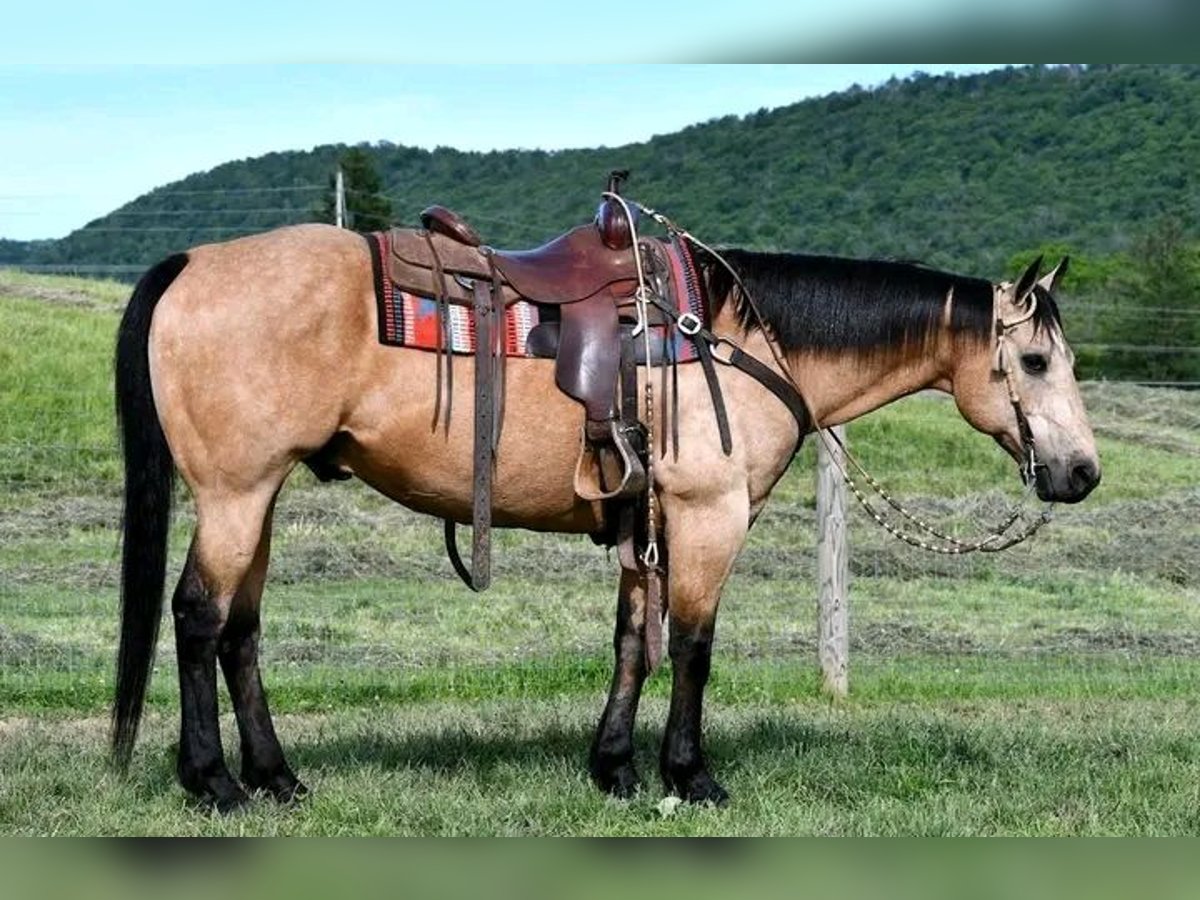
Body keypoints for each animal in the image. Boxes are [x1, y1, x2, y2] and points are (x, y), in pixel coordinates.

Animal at [110, 195, 1099, 811]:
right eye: (1037, 360)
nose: (1082, 473)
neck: (740, 338)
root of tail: (194, 263)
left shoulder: (642, 522)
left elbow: (633, 643)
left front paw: (614, 768)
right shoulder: (706, 515)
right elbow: (693, 646)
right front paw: (689, 776)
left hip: (259, 496)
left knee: (240, 631)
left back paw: (277, 778)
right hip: (236, 493)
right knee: (198, 618)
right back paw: (215, 784)